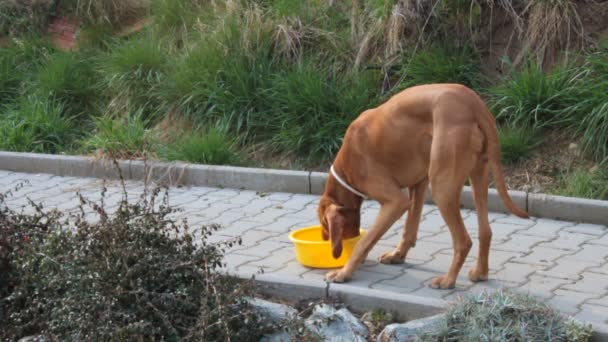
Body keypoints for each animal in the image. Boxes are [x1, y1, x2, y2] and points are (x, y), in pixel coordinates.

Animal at [318, 83, 528, 288]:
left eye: (325, 225)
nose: (326, 241)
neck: (346, 169)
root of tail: (475, 105)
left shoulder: (396, 202)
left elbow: (365, 241)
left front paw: (344, 273)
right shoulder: (418, 186)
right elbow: (409, 229)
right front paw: (397, 255)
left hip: (442, 187)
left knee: (463, 241)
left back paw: (448, 280)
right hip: (478, 175)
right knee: (485, 232)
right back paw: (480, 273)